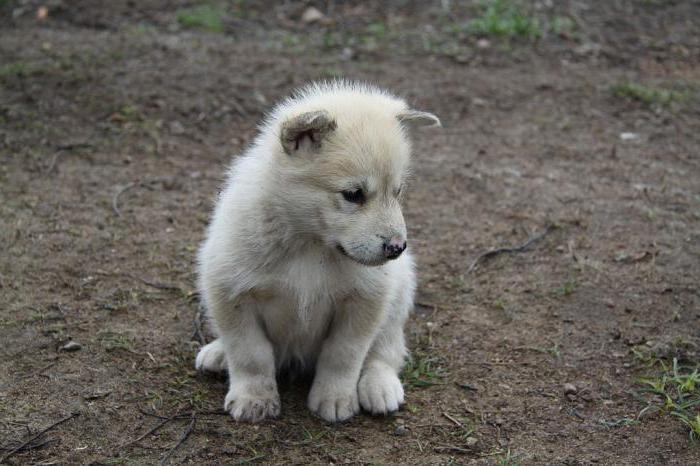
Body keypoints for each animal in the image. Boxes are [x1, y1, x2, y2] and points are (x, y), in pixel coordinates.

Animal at [194, 81, 440, 422]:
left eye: (398, 191)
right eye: (353, 194)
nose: (397, 248)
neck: (310, 245)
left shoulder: (365, 300)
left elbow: (344, 353)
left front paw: (334, 398)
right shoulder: (230, 293)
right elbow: (249, 352)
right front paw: (254, 398)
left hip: (399, 293)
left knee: (387, 348)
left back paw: (380, 386)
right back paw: (217, 352)